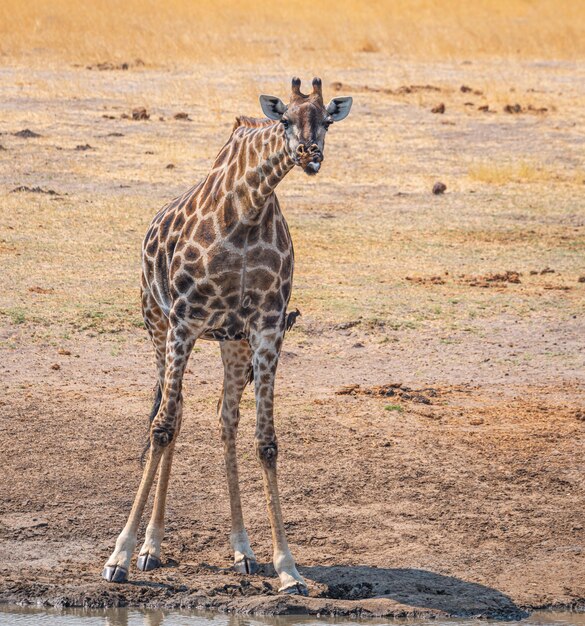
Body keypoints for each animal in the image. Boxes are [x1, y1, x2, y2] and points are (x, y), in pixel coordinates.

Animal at [101, 75, 352, 592]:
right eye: (284, 119)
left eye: (327, 120)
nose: (310, 153)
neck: (246, 213)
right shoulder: (184, 321)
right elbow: (162, 427)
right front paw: (120, 556)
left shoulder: (267, 328)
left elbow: (267, 441)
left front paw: (287, 567)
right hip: (157, 324)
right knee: (171, 415)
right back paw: (150, 549)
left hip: (230, 342)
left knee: (223, 418)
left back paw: (242, 551)